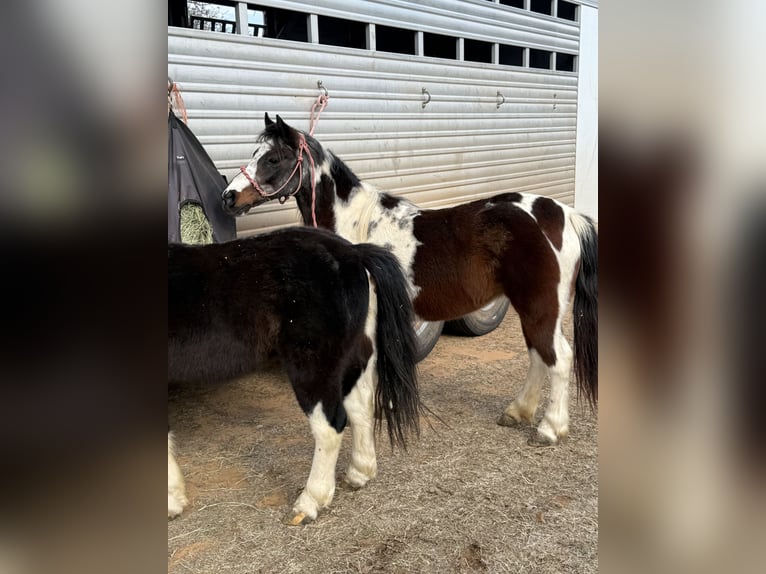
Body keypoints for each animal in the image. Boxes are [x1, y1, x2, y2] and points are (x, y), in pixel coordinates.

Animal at [168, 226, 421, 524]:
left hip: (312, 367)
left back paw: (311, 501)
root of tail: (353, 252)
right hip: (351, 360)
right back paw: (360, 473)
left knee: (330, 427)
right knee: (361, 409)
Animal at [221, 114, 598, 446]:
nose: (229, 196)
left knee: (559, 358)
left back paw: (549, 430)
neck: (357, 223)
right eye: (255, 153)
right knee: (538, 355)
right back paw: (517, 412)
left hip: (540, 307)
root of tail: (565, 215)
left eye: (272, 158)